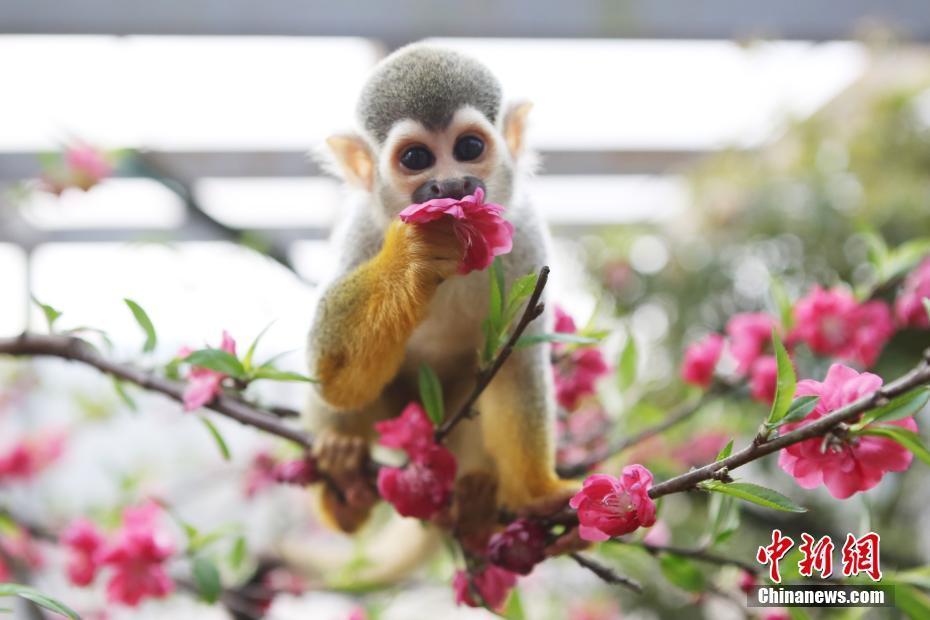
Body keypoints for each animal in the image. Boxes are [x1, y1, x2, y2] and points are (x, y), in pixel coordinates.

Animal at [304, 43, 568, 556]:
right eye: (416, 157)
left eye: (468, 149)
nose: (449, 186)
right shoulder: (364, 231)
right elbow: (331, 372)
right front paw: (416, 253)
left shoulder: (526, 239)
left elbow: (515, 364)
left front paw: (537, 494)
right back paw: (344, 483)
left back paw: (475, 500)